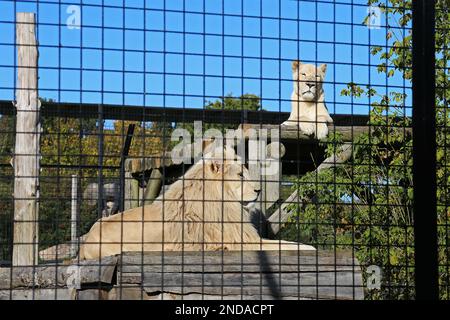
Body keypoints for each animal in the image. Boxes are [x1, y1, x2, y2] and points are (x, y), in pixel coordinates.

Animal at [79, 146, 314, 262]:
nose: (258, 190)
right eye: (240, 175)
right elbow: (287, 246)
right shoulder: (240, 242)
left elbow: (288, 243)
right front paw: (311, 249)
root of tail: (86, 241)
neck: (224, 201)